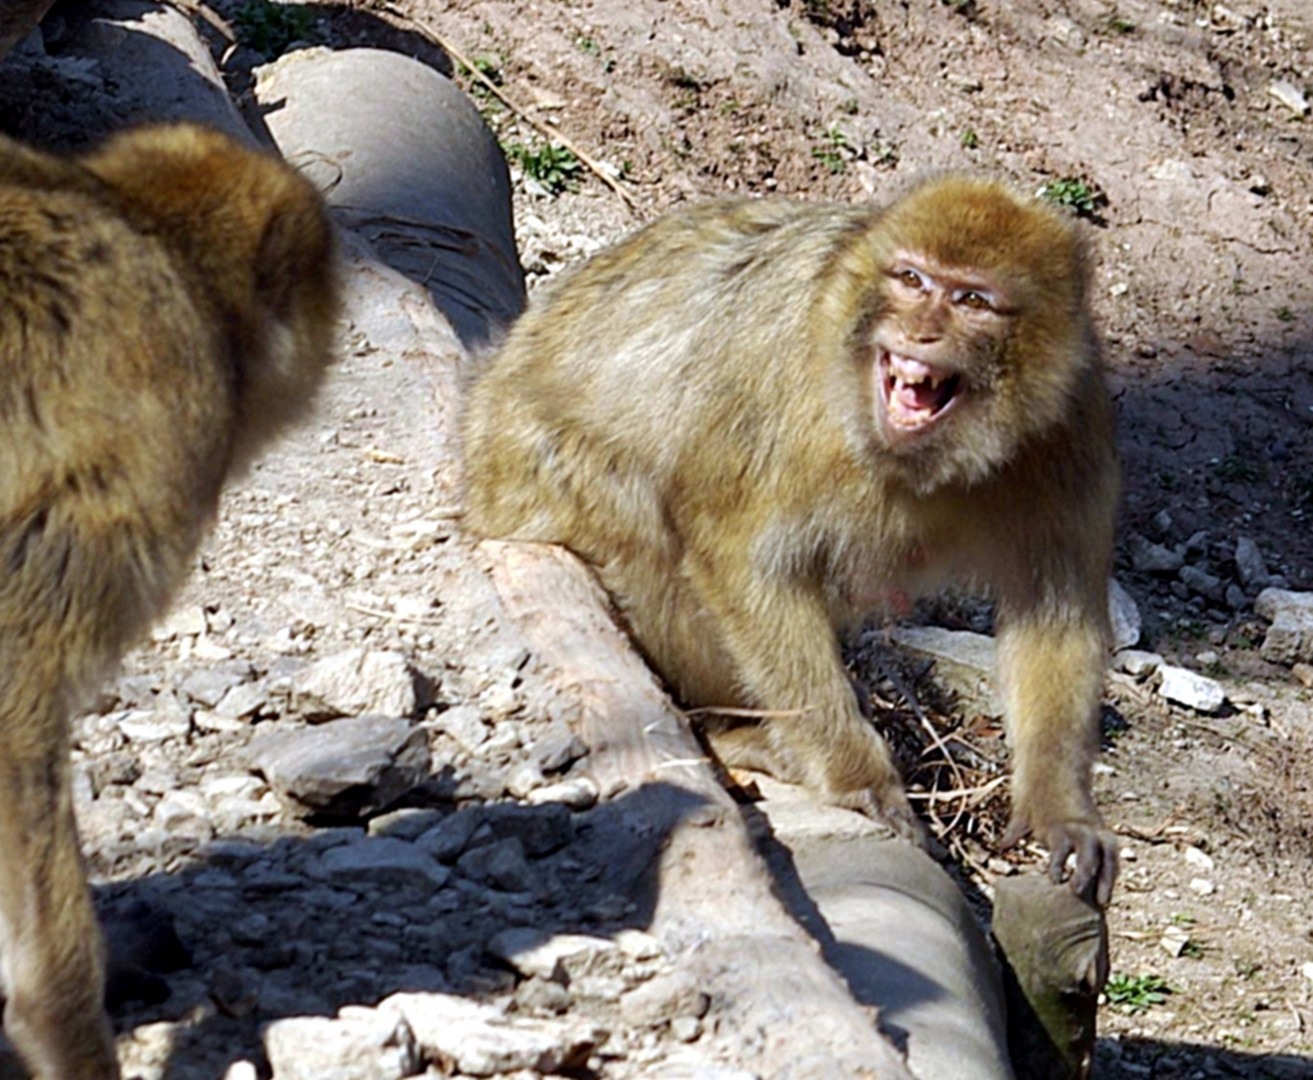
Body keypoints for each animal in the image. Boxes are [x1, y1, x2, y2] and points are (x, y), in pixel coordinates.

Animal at [459, 175, 1118, 902]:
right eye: (912, 279)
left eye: (972, 300)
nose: (919, 330)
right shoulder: (786, 381)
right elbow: (735, 550)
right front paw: (857, 774)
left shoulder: (1071, 421)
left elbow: (1054, 614)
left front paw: (1059, 808)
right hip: (529, 478)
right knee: (651, 531)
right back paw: (738, 737)